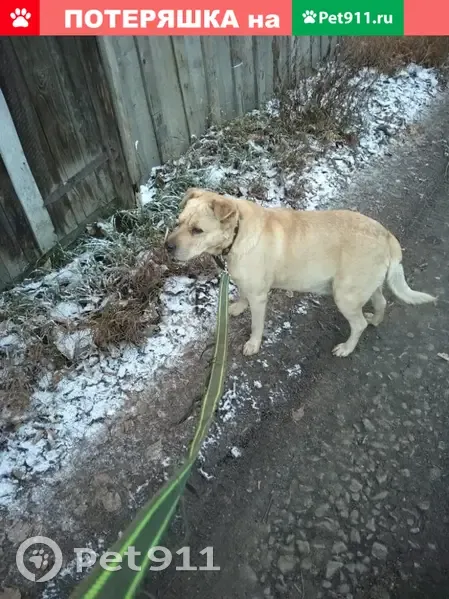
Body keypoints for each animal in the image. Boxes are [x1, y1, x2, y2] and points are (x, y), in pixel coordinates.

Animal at [165, 189, 434, 356]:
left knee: (358, 325)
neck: (237, 232)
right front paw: (239, 306)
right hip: (365, 286)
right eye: (177, 222)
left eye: (197, 230)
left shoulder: (260, 297)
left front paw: (253, 344)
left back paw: (346, 348)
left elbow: (256, 325)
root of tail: (387, 235)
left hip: (345, 295)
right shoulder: (245, 281)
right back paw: (375, 320)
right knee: (381, 302)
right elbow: (241, 293)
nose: (167, 246)